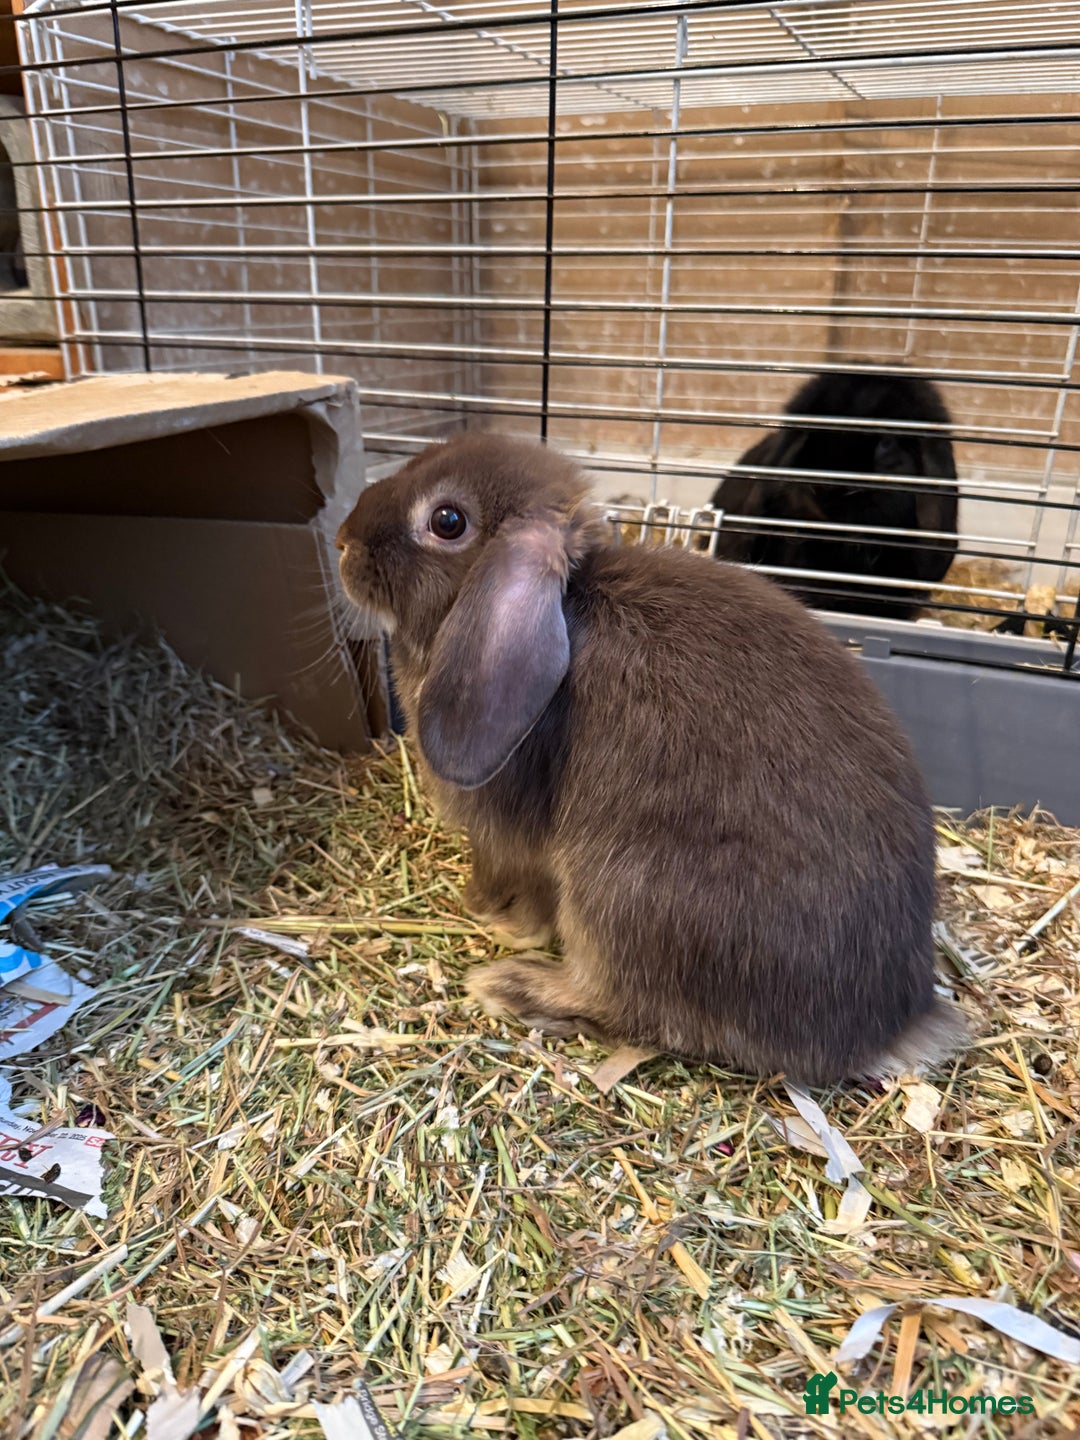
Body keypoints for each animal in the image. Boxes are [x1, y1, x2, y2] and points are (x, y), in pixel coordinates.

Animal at [336, 432, 967, 1087]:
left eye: (447, 521)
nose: (343, 542)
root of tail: (887, 1030)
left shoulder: (509, 842)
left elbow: (518, 889)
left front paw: (494, 920)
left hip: (618, 893)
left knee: (627, 1004)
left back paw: (511, 986)